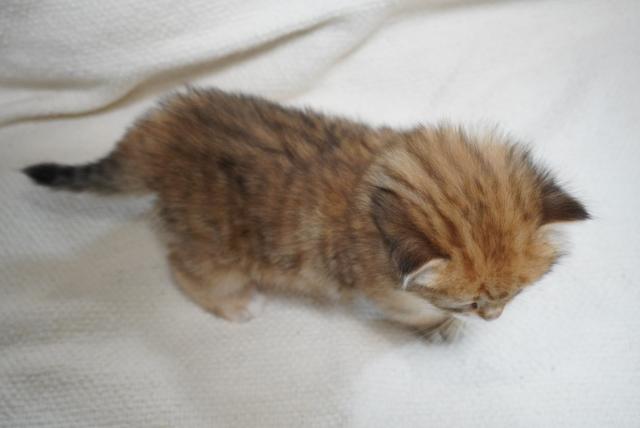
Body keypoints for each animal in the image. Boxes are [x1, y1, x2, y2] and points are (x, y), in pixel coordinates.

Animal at [23, 88, 589, 338]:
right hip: (212, 245)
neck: (375, 186)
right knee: (184, 270)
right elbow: (414, 310)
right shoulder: (382, 289)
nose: (495, 318)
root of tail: (160, 131)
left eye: (517, 294)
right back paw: (235, 305)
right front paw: (441, 325)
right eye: (473, 302)